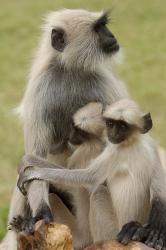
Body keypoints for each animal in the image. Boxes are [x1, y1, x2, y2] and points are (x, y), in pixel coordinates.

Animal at [0, 8, 129, 250]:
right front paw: (41, 214)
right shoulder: (40, 91)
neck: (71, 72)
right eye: (99, 28)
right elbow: (35, 158)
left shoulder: (104, 84)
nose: (112, 36)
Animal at [17, 99, 166, 250]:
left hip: (99, 234)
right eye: (110, 124)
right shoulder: (149, 145)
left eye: (123, 126)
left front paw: (32, 166)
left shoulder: (109, 151)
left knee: (92, 193)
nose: (70, 136)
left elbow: (86, 179)